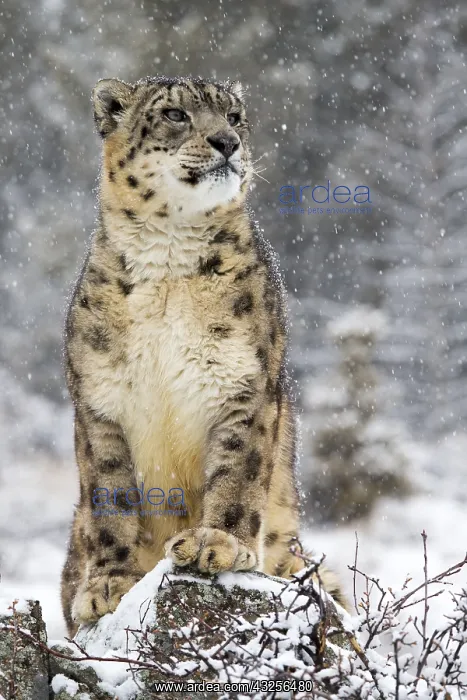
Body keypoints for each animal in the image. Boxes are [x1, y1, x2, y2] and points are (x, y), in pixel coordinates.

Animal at [61, 75, 345, 637]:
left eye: (234, 117)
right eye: (175, 114)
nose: (227, 143)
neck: (169, 258)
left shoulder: (246, 386)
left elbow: (239, 473)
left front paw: (217, 543)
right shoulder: (98, 402)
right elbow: (110, 496)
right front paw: (108, 585)